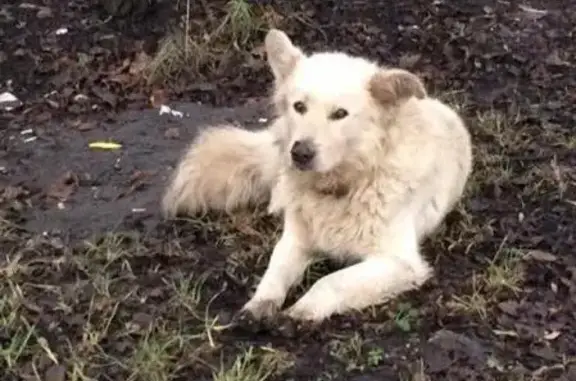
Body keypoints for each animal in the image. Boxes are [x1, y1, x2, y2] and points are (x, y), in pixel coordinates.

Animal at [163, 28, 472, 322]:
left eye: (340, 113)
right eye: (299, 106)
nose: (300, 153)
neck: (345, 184)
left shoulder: (399, 262)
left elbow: (331, 281)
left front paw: (301, 312)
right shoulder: (295, 240)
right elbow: (275, 269)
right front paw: (259, 304)